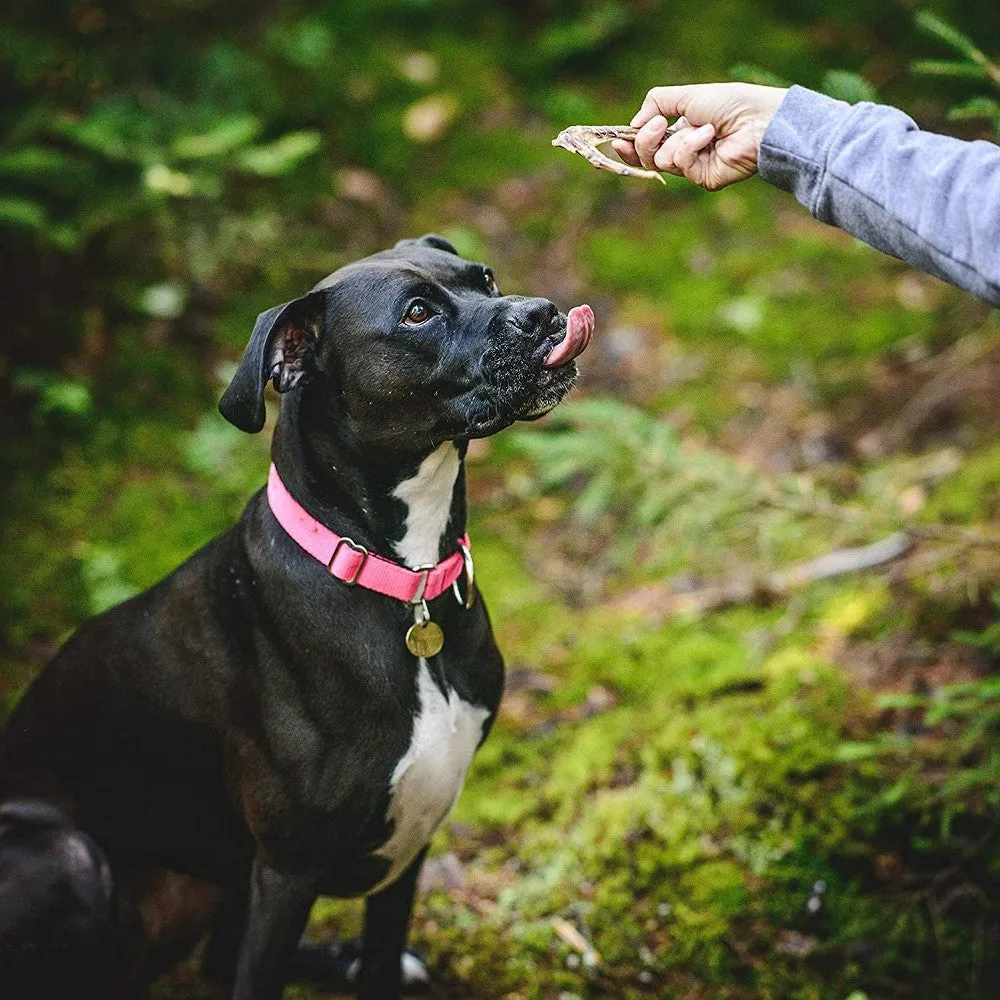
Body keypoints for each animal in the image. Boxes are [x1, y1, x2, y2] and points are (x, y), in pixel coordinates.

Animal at [0, 236, 592, 1000]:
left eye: (484, 279)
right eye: (417, 313)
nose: (544, 314)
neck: (402, 578)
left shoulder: (411, 842)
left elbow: (380, 960)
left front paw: (369, 964)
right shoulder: (287, 870)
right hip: (74, 856)